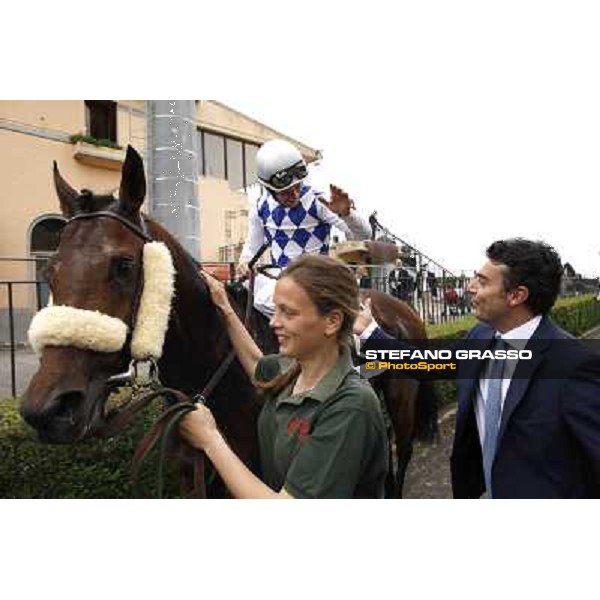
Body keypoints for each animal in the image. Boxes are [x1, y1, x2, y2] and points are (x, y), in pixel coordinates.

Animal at [21, 145, 436, 496]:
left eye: (122, 265)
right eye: (49, 271)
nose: (47, 409)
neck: (216, 369)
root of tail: (402, 309)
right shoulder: (195, 470)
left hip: (403, 400)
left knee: (401, 457)